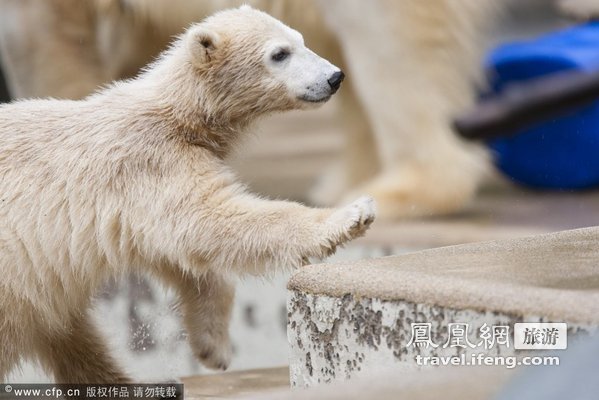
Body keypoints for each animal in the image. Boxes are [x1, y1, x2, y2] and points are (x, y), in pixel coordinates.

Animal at [0, 5, 376, 382]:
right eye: (279, 54)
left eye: (301, 39)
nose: (334, 77)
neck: (177, 116)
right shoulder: (149, 161)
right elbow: (209, 220)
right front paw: (353, 214)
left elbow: (180, 254)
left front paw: (213, 347)